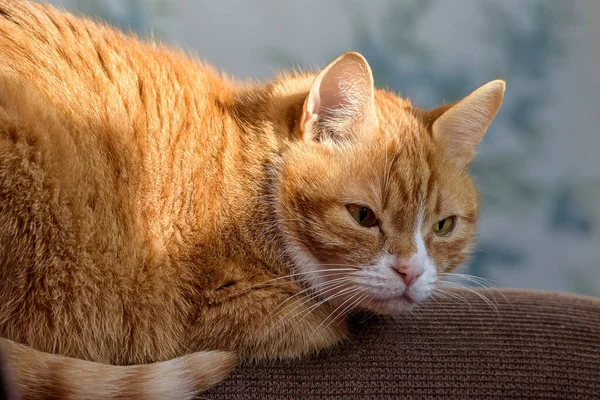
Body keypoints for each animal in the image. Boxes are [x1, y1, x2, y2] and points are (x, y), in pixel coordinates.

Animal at [0, 1, 506, 398]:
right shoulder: (219, 312)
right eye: (363, 216)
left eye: (442, 226)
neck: (252, 178)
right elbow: (326, 324)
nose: (411, 272)